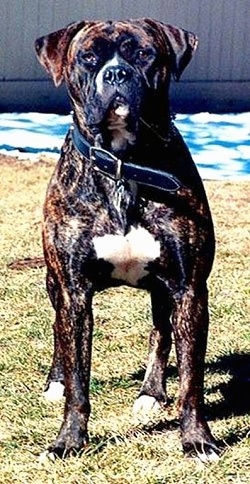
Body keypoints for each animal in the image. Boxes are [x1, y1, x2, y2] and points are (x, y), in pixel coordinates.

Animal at [35, 17, 219, 462]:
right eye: (89, 57)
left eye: (144, 55)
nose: (117, 74)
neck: (123, 163)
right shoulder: (74, 291)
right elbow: (78, 377)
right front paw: (68, 441)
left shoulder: (188, 288)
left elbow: (191, 379)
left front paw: (197, 440)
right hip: (53, 283)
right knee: (58, 333)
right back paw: (55, 382)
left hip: (164, 292)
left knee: (160, 333)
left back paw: (151, 393)